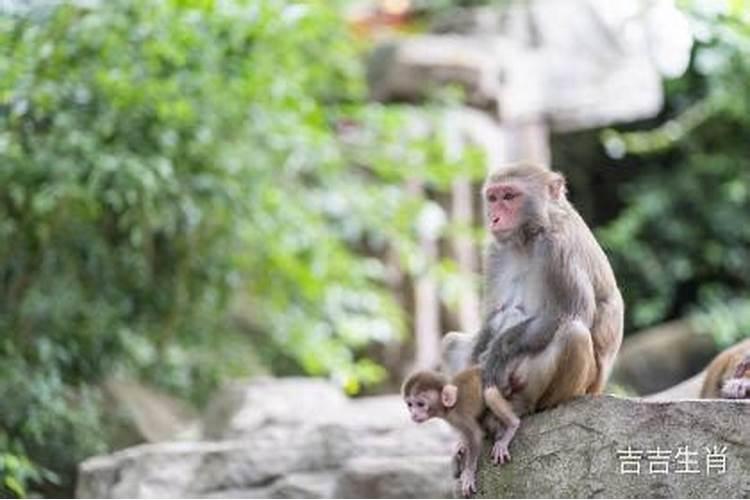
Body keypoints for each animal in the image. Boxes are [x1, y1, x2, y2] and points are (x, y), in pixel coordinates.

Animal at [402, 366, 520, 498]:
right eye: (410, 405)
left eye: (420, 404)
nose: (414, 414)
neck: (448, 407)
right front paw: (461, 444)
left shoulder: (458, 415)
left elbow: (474, 435)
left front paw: (468, 473)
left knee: (488, 393)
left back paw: (511, 427)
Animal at [444, 163, 624, 418]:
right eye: (493, 198)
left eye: (509, 196)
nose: (494, 219)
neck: (528, 236)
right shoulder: (494, 252)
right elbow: (492, 315)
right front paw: (482, 347)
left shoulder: (558, 247)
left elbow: (570, 313)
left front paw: (498, 351)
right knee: (449, 343)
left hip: (577, 385)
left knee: (574, 334)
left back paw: (528, 407)